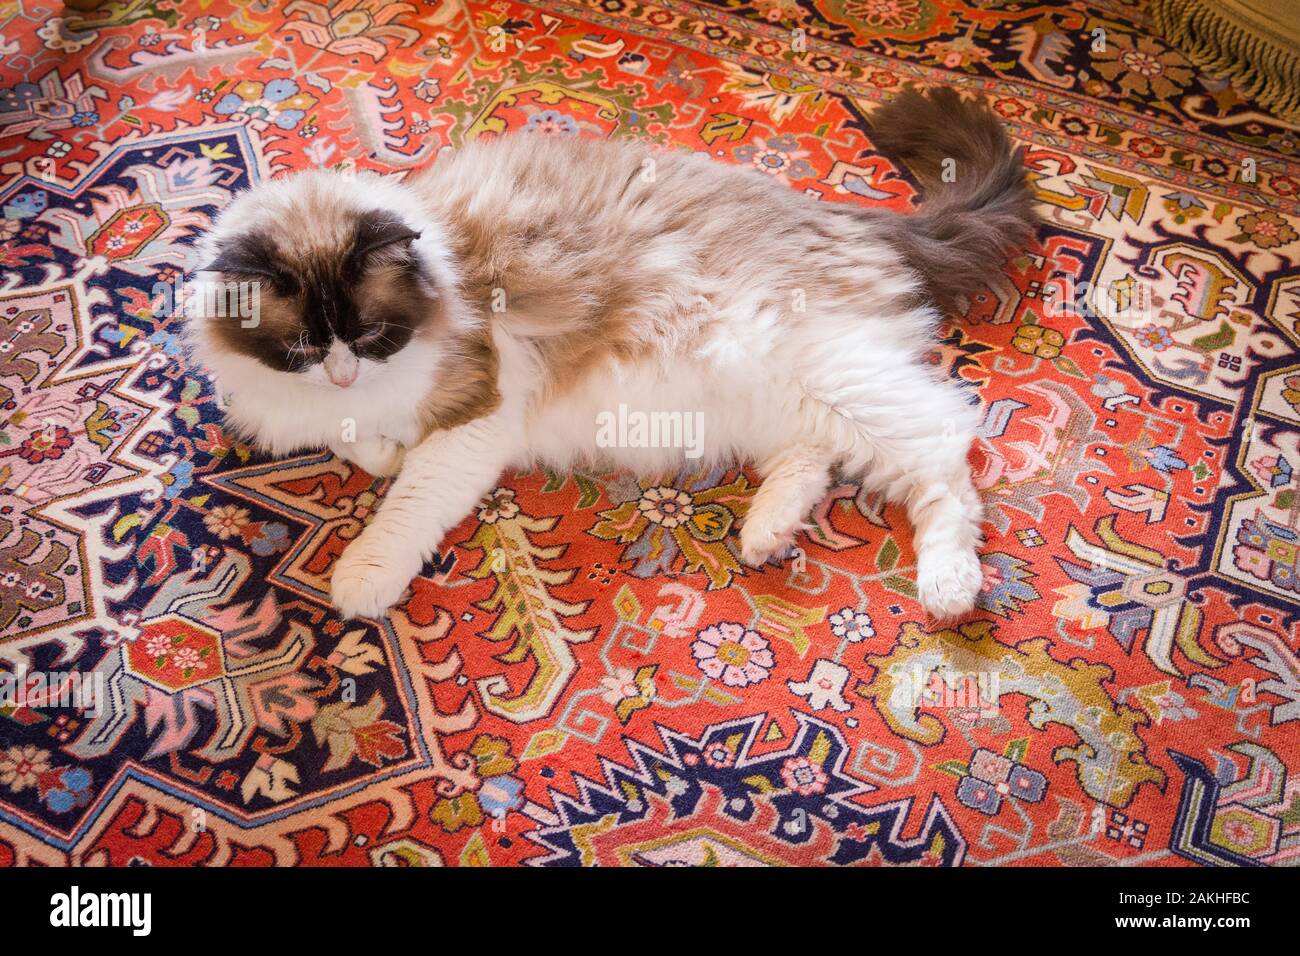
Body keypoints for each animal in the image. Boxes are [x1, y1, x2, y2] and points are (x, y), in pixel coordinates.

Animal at [188, 87, 1040, 621]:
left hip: (825, 377)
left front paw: (361, 576)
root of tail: (854, 218)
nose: (343, 374)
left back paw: (948, 588)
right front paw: (377, 448)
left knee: (946, 463)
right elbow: (362, 447)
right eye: (302, 347)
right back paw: (765, 535)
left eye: (367, 336)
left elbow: (403, 507)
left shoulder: (477, 414)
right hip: (777, 398)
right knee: (812, 461)